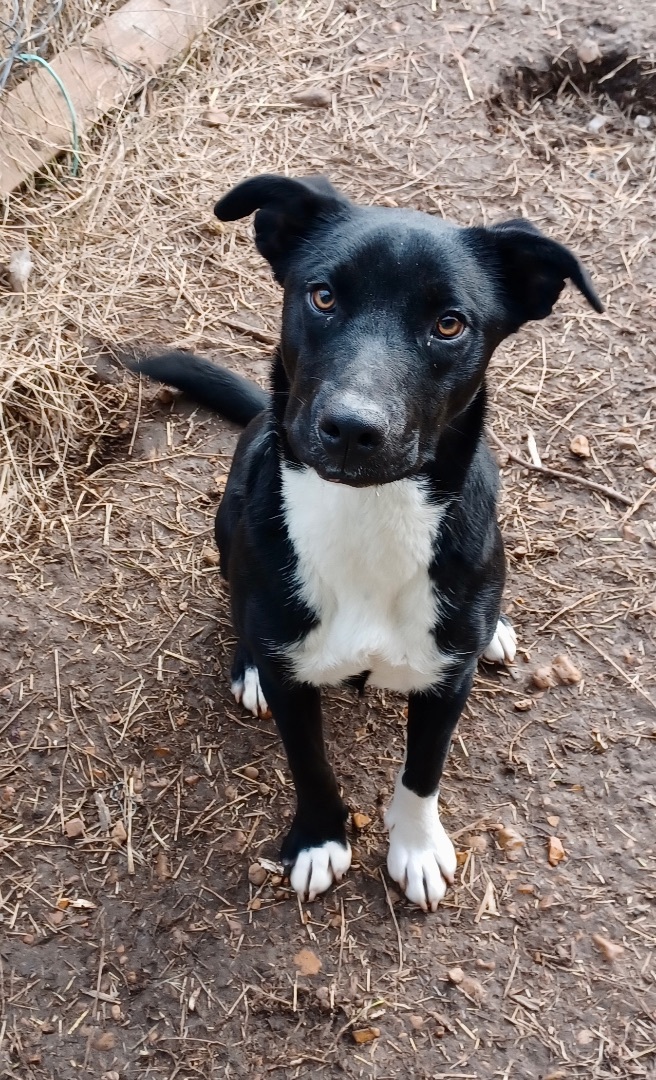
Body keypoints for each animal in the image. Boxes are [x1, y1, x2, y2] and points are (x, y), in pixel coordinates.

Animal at [130, 174, 605, 911]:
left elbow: (423, 770)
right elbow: (311, 765)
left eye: (449, 323)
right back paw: (246, 664)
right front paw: (319, 840)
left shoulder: (447, 683)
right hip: (229, 519)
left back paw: (497, 629)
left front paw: (416, 846)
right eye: (323, 296)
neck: (369, 515)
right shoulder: (295, 684)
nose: (352, 428)